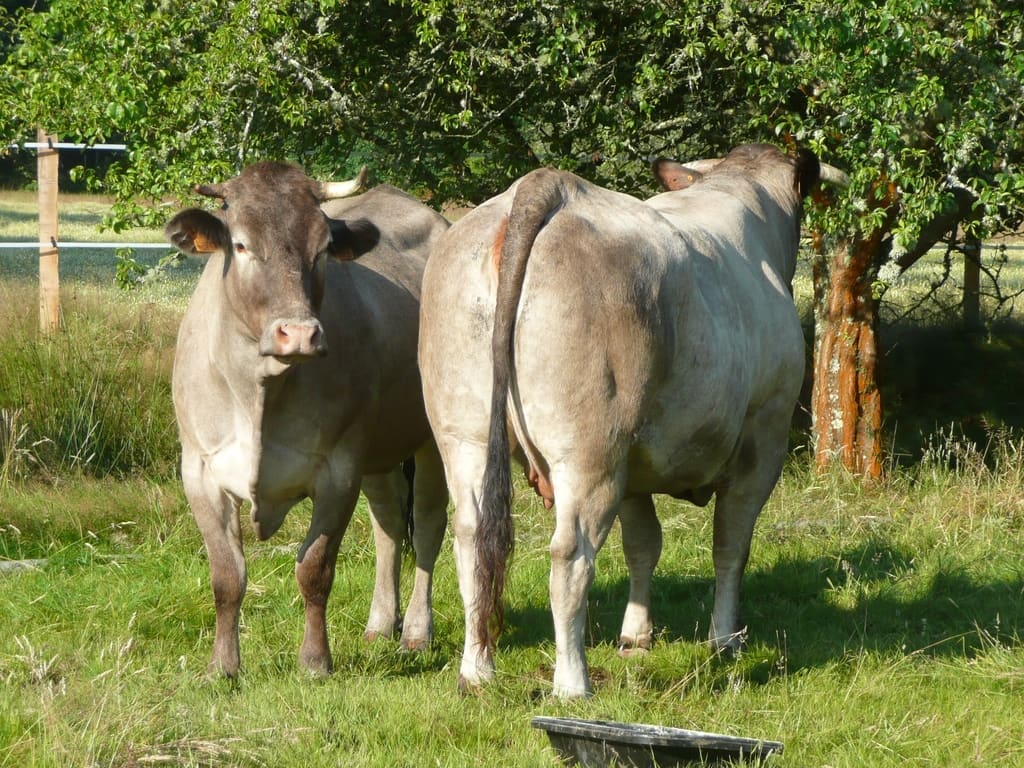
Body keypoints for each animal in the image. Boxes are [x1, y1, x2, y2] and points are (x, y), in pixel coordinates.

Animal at [166, 161, 449, 678]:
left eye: (322, 251)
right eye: (240, 244)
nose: (298, 333)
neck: (259, 393)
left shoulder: (338, 468)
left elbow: (314, 569)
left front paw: (316, 661)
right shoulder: (199, 469)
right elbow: (226, 575)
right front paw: (223, 666)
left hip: (432, 438)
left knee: (427, 526)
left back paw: (416, 632)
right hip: (377, 449)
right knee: (388, 523)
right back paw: (381, 623)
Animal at [419, 143, 840, 697]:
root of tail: (543, 186)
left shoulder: (635, 464)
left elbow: (643, 544)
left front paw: (636, 636)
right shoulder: (762, 441)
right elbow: (731, 544)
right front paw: (725, 640)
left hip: (463, 435)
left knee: (472, 538)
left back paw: (476, 670)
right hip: (588, 453)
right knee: (570, 553)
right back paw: (572, 682)